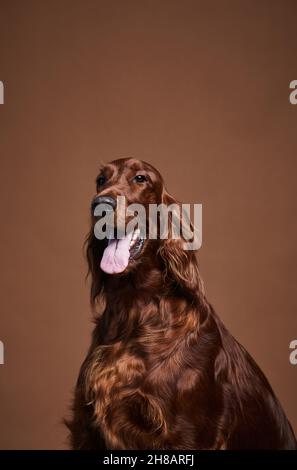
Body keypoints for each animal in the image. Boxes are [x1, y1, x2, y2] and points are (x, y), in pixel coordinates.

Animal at [66, 159, 294, 452]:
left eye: (141, 178)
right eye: (100, 180)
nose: (100, 204)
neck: (135, 307)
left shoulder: (187, 434)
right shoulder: (87, 430)